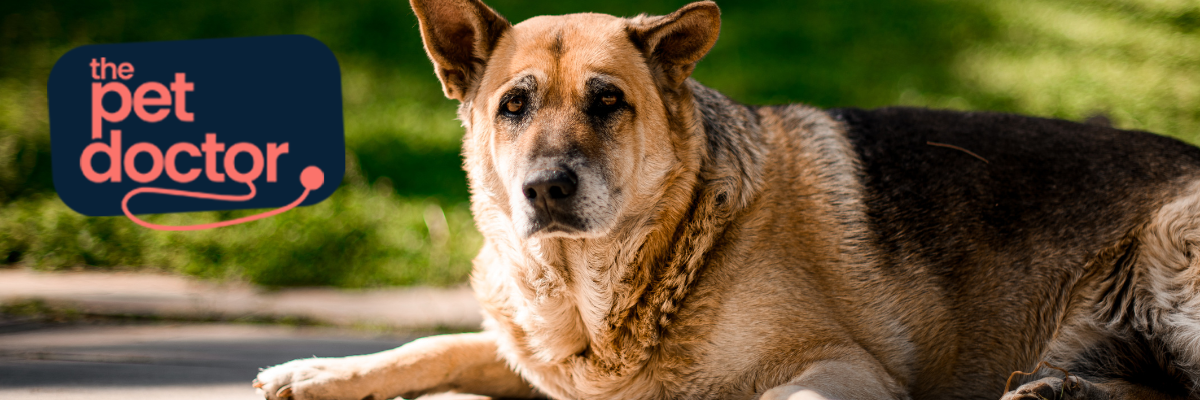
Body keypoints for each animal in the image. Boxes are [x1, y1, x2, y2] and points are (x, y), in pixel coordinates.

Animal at [258, 1, 1200, 396]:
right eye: (513, 106)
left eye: (608, 101)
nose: (545, 189)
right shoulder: (545, 365)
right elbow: (437, 346)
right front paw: (323, 371)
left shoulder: (844, 370)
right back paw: (1061, 392)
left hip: (1174, 246)